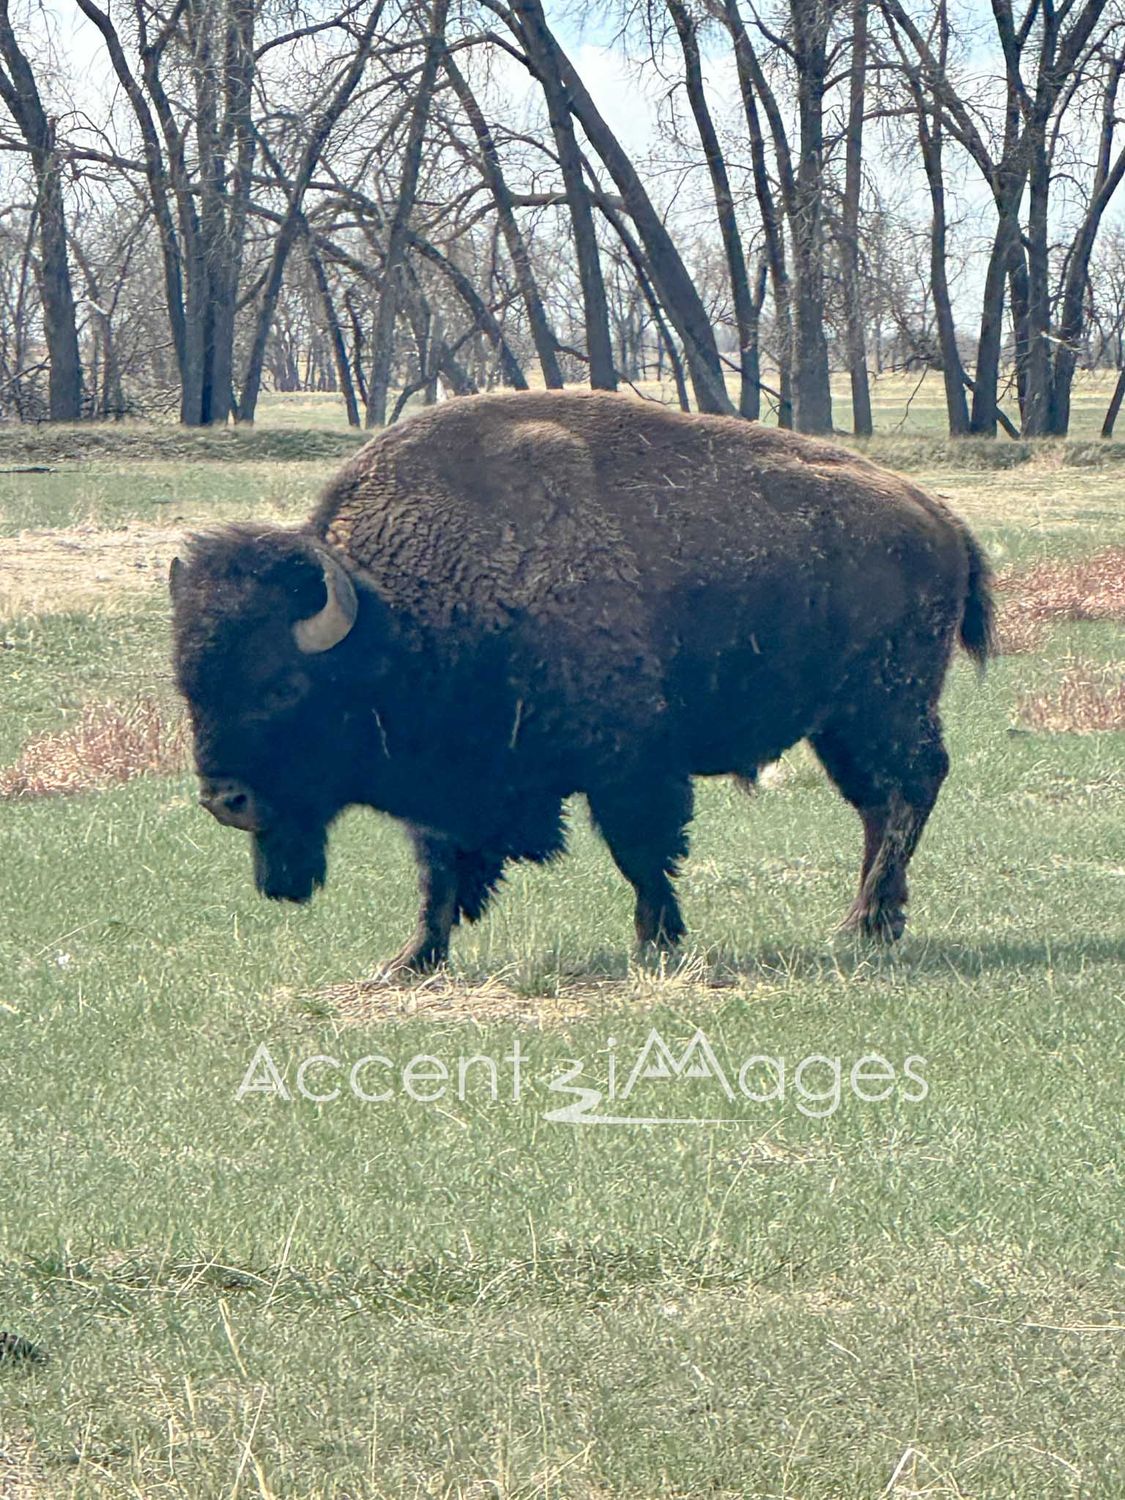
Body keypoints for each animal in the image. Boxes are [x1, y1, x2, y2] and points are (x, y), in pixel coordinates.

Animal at [170, 390, 993, 972]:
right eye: (189, 687)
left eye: (281, 686)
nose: (223, 800)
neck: (397, 611)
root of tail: (941, 517)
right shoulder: (449, 789)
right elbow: (438, 872)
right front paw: (410, 961)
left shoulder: (628, 765)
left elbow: (641, 852)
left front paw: (655, 941)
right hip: (840, 722)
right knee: (879, 805)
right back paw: (871, 923)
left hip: (884, 703)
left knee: (910, 788)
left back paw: (865, 919)